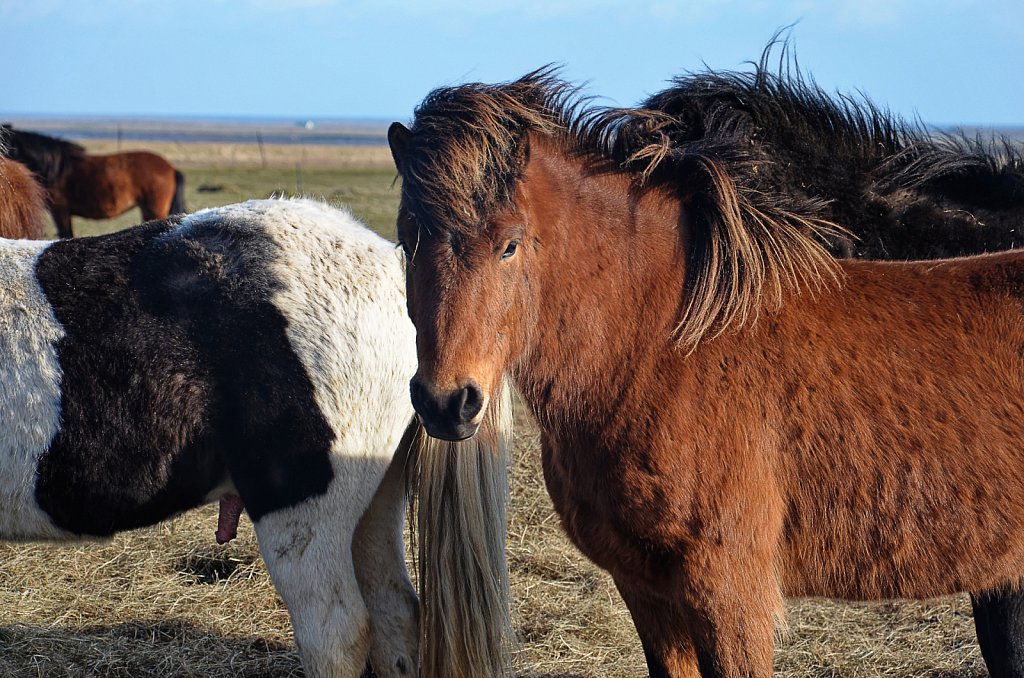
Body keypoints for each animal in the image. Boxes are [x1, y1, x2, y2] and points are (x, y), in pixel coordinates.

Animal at [389, 70, 1024, 678]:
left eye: (510, 245)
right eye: (407, 241)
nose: (447, 403)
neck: (658, 350)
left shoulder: (728, 590)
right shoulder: (645, 589)